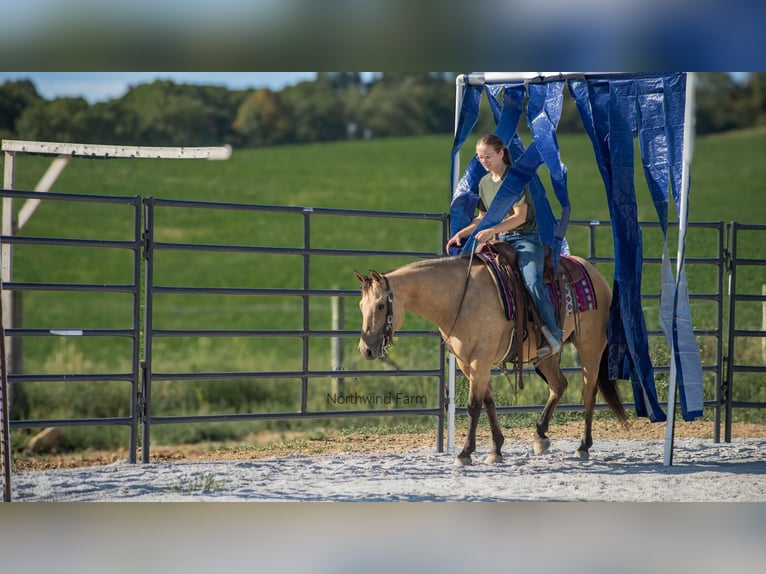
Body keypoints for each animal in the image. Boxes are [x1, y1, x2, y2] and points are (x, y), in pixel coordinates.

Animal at [356, 249, 628, 468]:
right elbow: (488, 402)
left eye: (380, 305)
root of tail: (594, 272)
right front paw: (496, 449)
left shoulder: (480, 359)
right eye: (360, 306)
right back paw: (540, 436)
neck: (459, 298)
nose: (365, 349)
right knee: (559, 385)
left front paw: (465, 453)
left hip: (590, 347)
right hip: (547, 356)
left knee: (588, 392)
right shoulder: (467, 363)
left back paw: (583, 446)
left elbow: (474, 405)